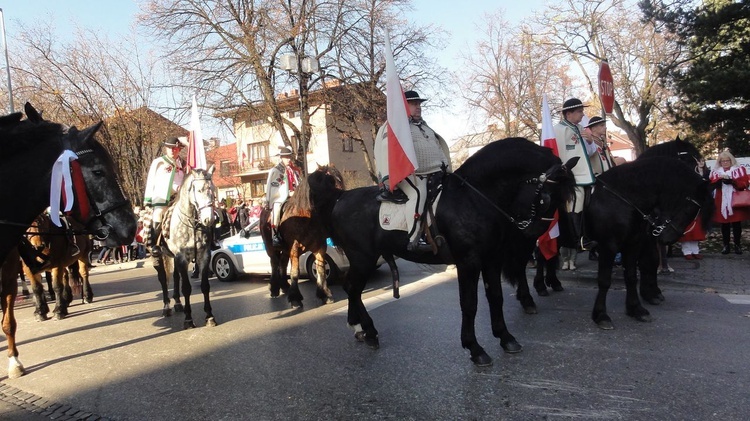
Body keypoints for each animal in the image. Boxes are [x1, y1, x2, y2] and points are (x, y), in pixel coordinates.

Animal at [324, 138, 576, 364]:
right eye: (546, 198)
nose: (534, 233)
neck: (474, 198)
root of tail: (341, 197)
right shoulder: (468, 262)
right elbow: (469, 303)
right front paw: (475, 348)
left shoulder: (492, 259)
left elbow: (496, 296)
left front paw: (505, 337)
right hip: (362, 258)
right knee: (352, 288)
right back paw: (368, 331)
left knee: (352, 289)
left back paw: (359, 328)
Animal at [588, 156, 716, 330]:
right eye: (689, 208)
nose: (669, 239)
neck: (622, 199)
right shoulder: (609, 245)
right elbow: (604, 280)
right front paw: (601, 314)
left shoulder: (634, 243)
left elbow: (633, 275)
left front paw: (636, 308)